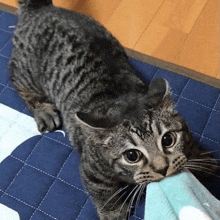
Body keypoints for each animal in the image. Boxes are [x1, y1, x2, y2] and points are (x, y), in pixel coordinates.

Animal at [9, 0, 217, 219]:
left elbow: (189, 145)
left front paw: (200, 159)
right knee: (17, 81)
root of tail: (40, 8)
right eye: (132, 156)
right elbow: (102, 191)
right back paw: (43, 111)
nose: (163, 168)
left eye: (168, 140)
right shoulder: (91, 169)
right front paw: (113, 212)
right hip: (28, 73)